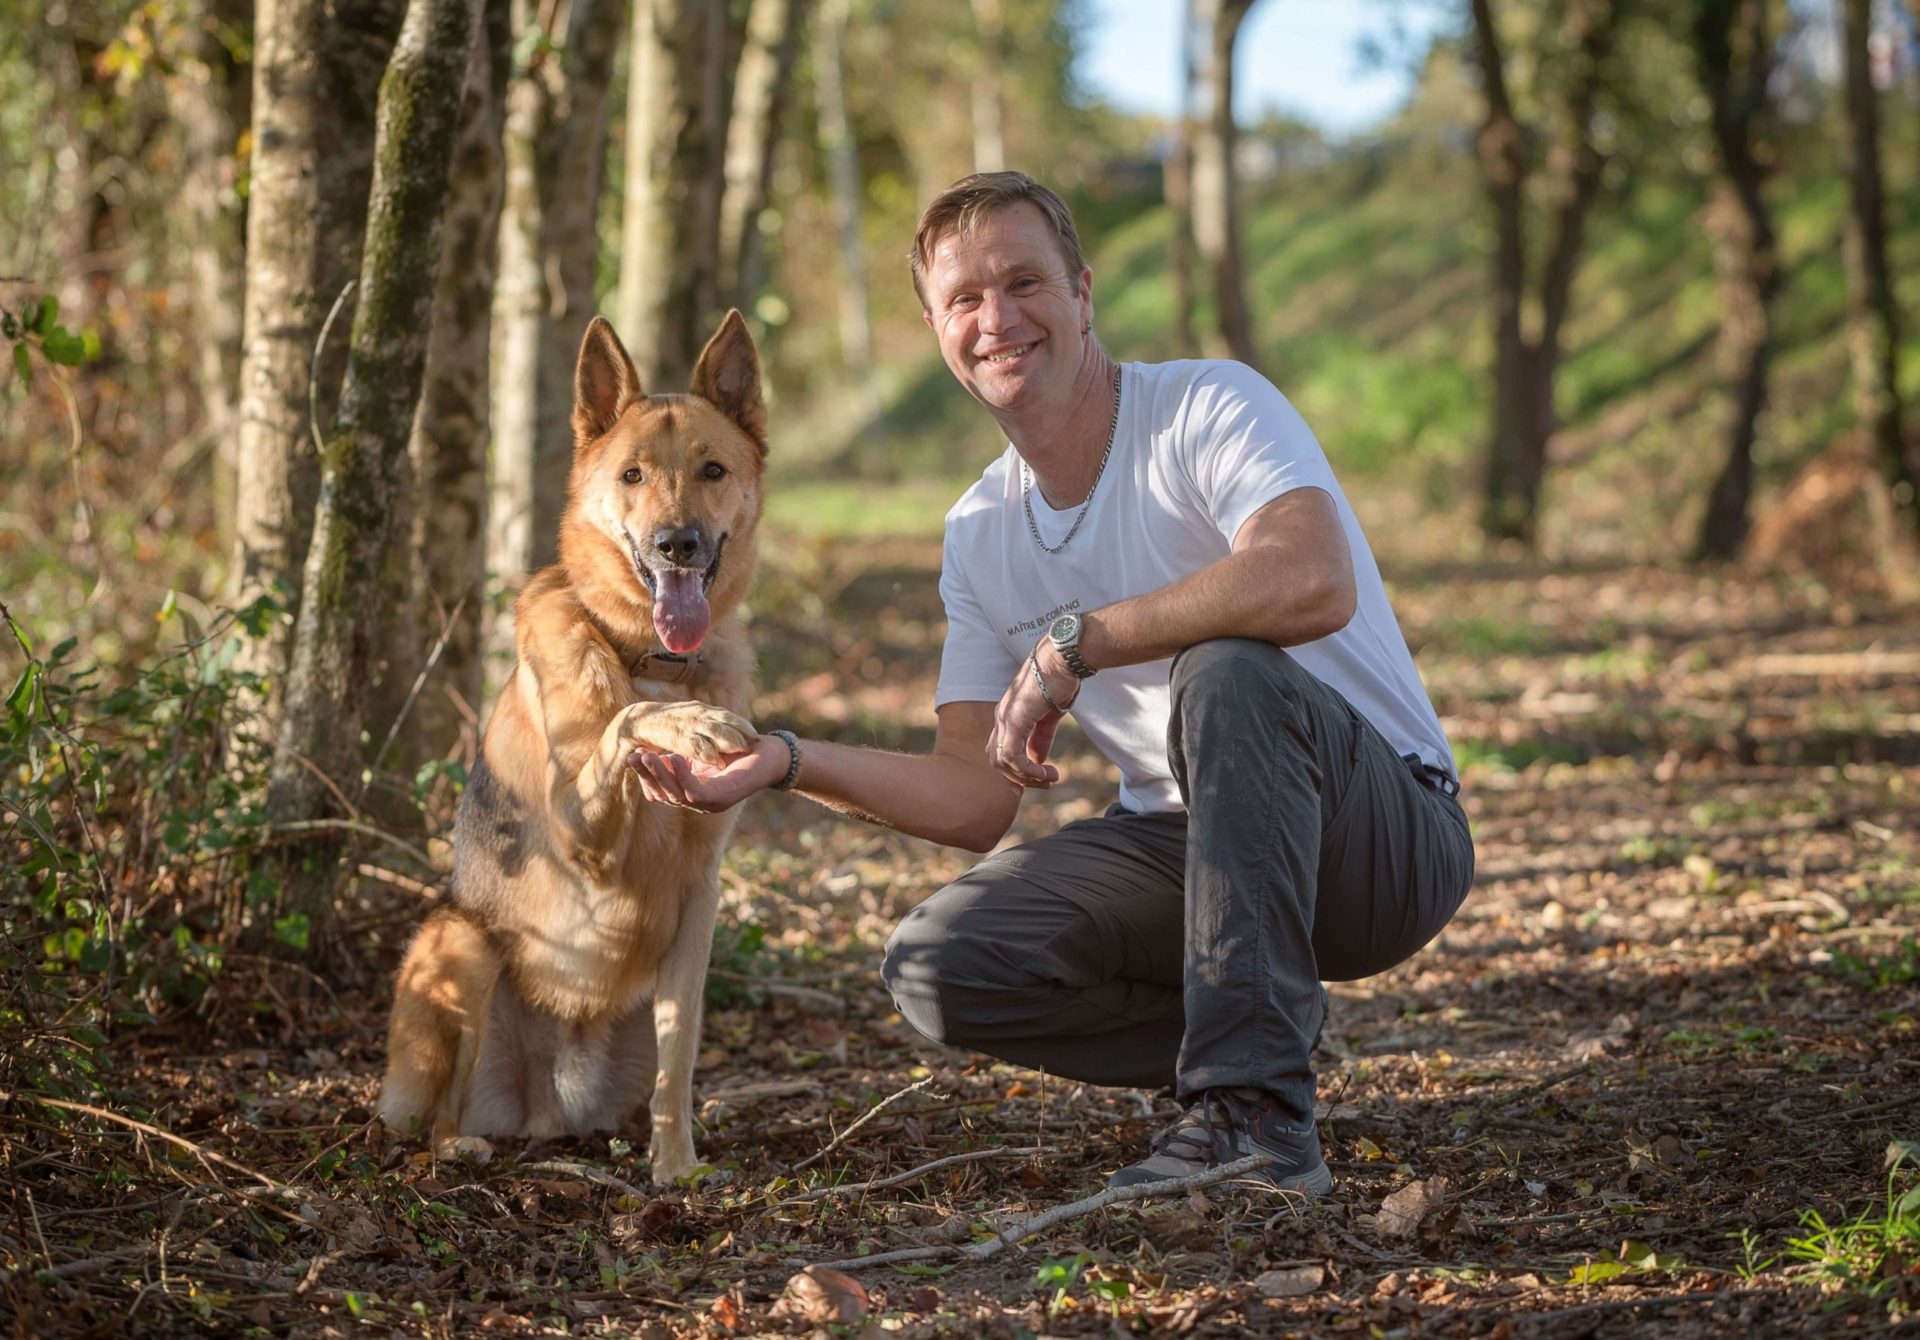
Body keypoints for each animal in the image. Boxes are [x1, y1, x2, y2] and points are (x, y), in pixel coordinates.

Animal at [374, 307, 764, 1174]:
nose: (677, 544)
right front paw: (686, 724)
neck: (648, 658)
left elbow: (681, 1052)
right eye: (633, 476)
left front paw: (676, 1164)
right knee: (437, 1119)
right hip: (460, 944)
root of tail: (547, 1109)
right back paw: (459, 1146)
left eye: (713, 469)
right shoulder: (579, 832)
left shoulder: (700, 902)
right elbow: (624, 721)